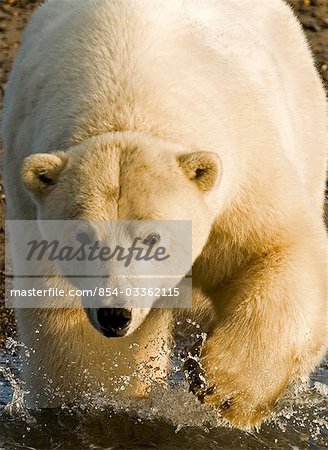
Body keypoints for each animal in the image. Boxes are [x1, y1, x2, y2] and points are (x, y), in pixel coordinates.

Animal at [1, 0, 326, 428]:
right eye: (83, 240)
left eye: (152, 239)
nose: (114, 315)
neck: (124, 95)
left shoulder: (244, 169)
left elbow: (277, 249)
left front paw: (226, 390)